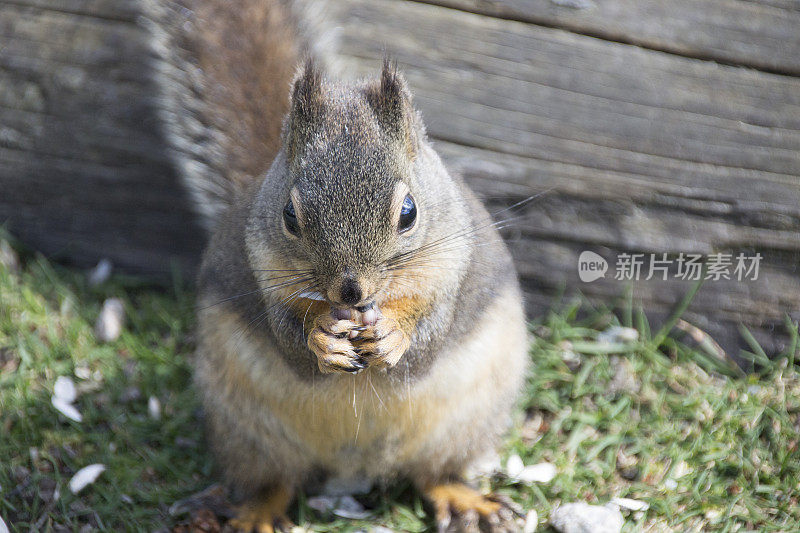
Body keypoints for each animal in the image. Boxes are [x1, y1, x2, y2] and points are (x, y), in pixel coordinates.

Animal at [194, 59, 532, 532]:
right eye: (289, 215)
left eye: (409, 212)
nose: (351, 290)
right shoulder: (265, 278)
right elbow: (290, 341)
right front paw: (322, 339)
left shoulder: (450, 274)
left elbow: (428, 338)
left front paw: (393, 335)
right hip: (245, 430)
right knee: (275, 481)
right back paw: (256, 513)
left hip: (467, 422)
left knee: (434, 475)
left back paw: (465, 500)